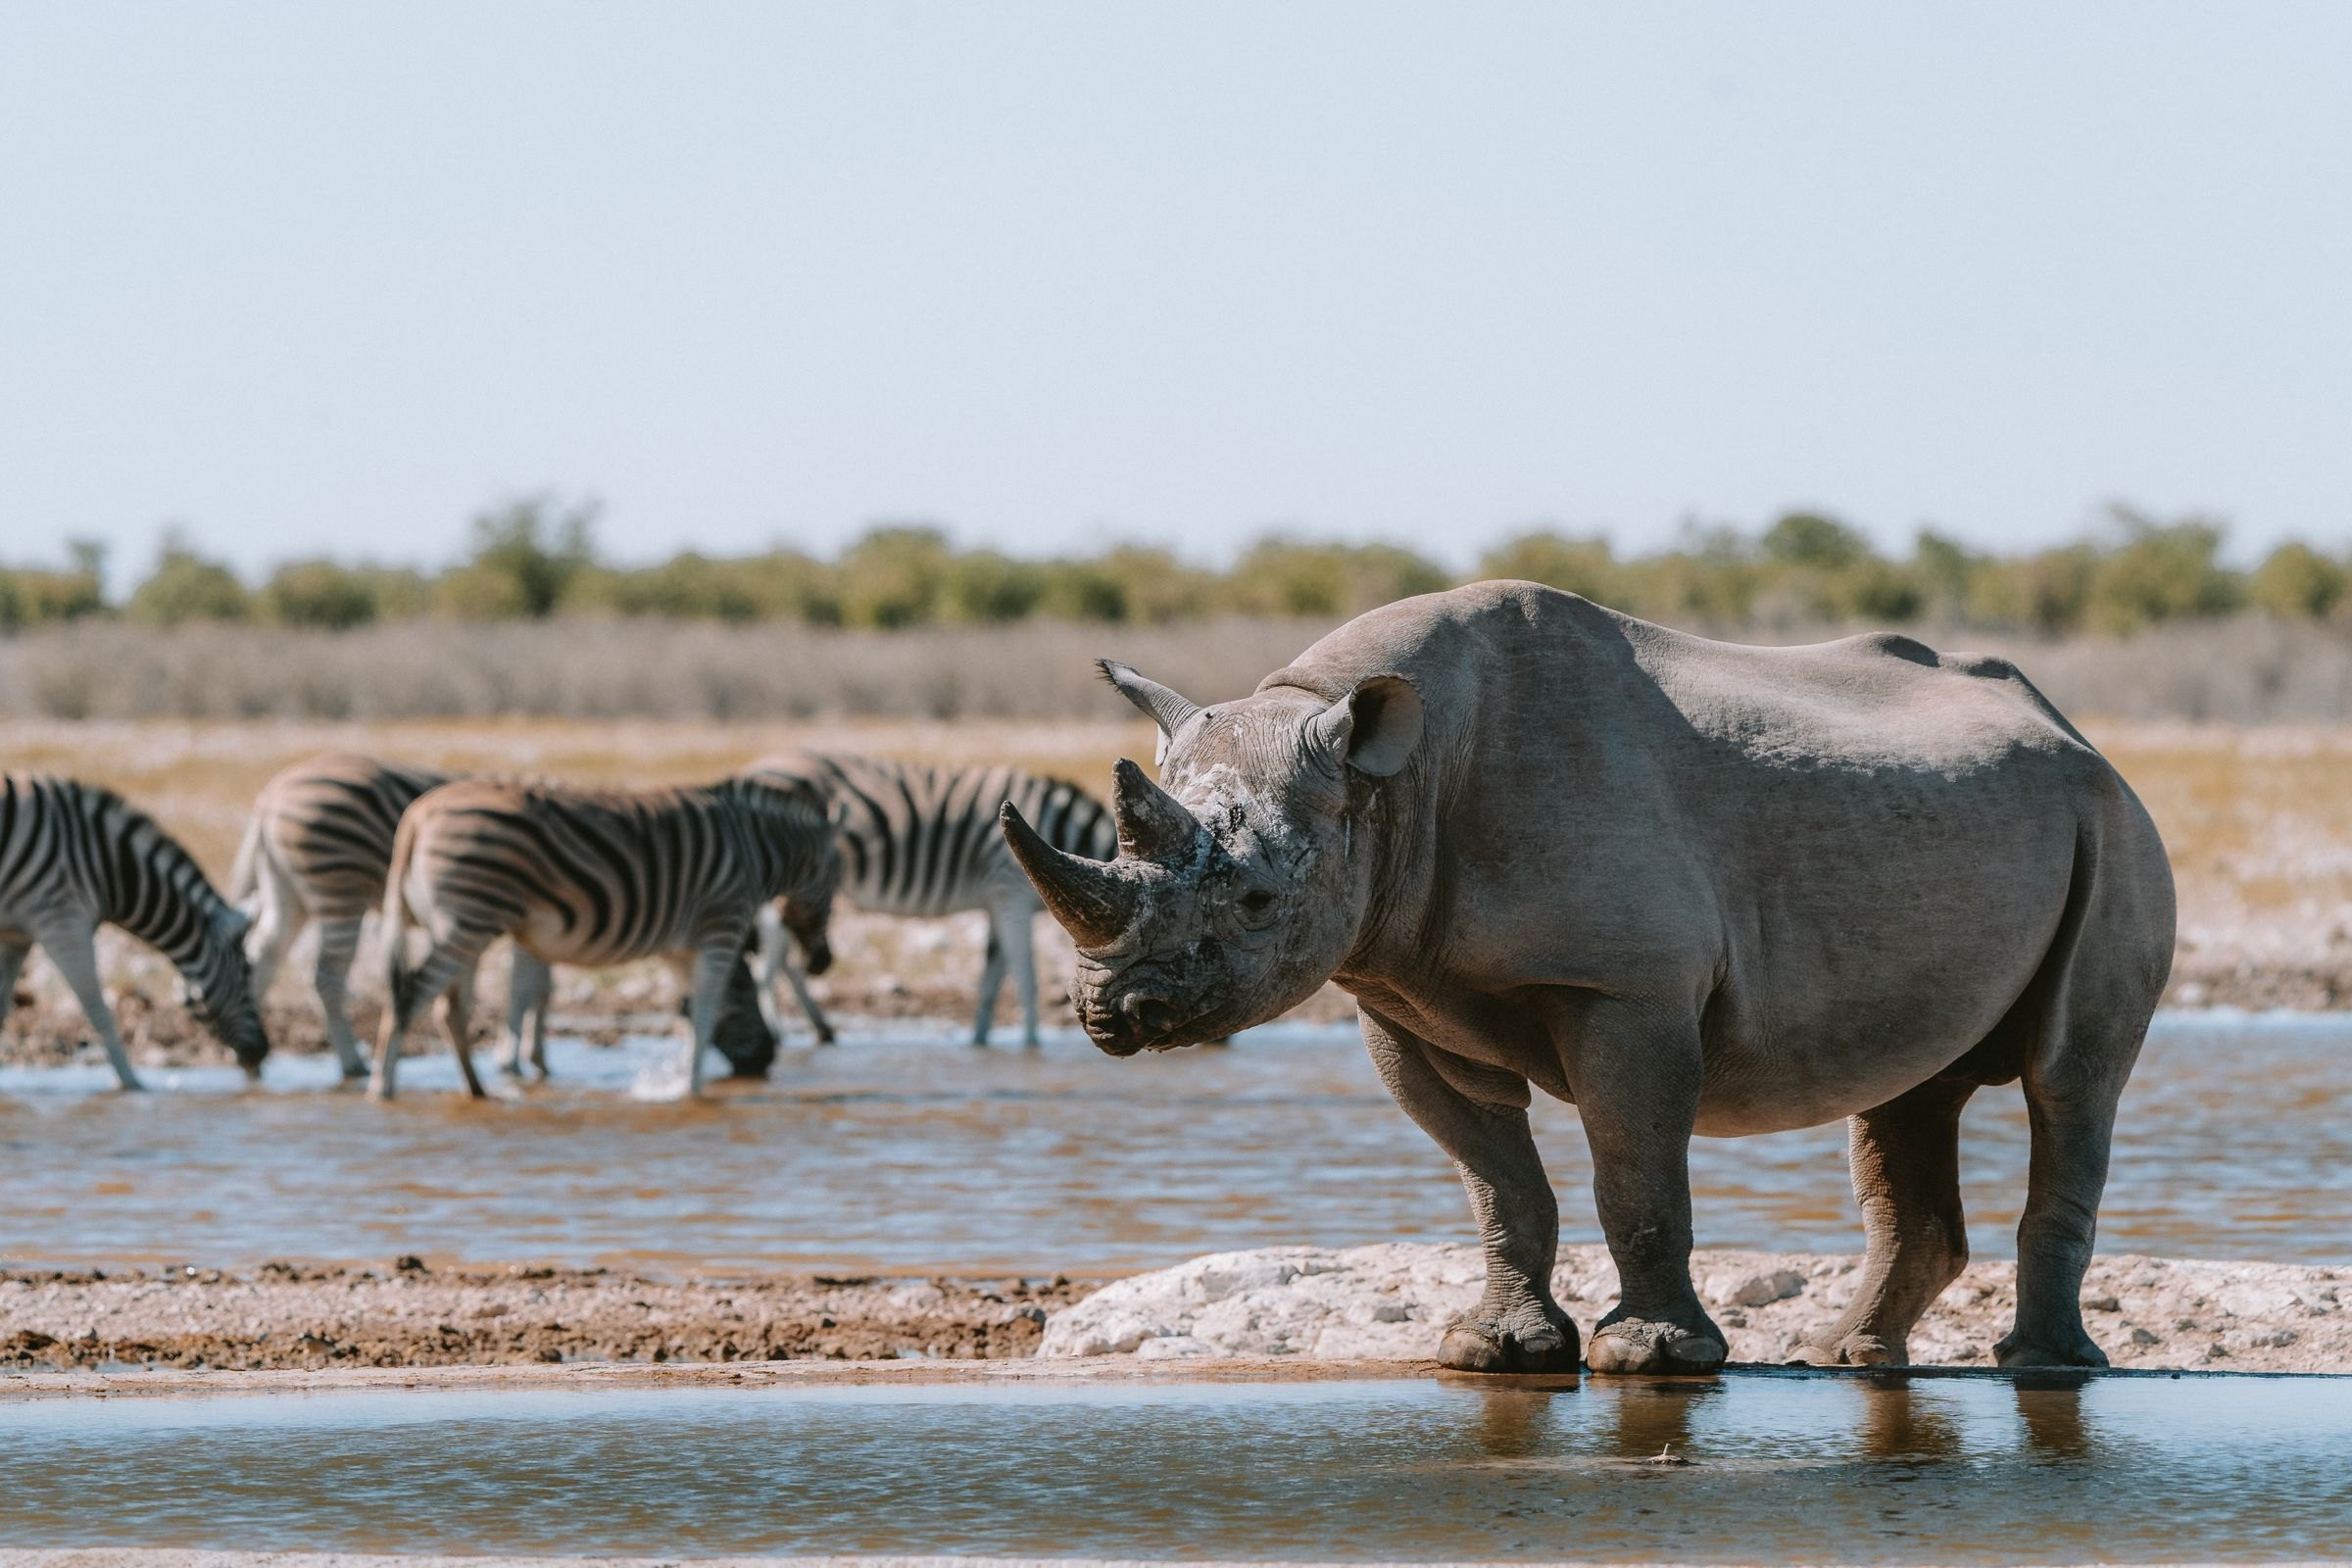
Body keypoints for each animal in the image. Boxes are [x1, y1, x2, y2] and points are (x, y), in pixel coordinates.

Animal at [0, 773, 268, 1089]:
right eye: (247, 974)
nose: (262, 1052)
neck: (107, 866)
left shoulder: (17, 938)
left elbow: (2, 1009)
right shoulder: (62, 924)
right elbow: (98, 1011)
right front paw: (131, 1084)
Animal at [232, 753, 781, 1082]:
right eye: (742, 993)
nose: (766, 1060)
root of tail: (269, 796)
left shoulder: (542, 924)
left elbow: (540, 988)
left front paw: (534, 1058)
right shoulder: (537, 922)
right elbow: (528, 989)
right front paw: (516, 1060)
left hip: (289, 893)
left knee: (261, 956)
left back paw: (247, 1050)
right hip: (338, 889)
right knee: (327, 975)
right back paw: (351, 1064)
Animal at [372, 772, 840, 1099]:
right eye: (835, 887)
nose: (823, 963)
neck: (755, 848)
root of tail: (417, 816)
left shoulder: (682, 945)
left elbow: (693, 1010)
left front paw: (684, 1083)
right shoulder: (721, 923)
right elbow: (708, 1009)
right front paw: (693, 1090)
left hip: (463, 926)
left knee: (450, 1010)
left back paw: (476, 1090)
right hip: (467, 919)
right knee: (409, 997)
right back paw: (383, 1089)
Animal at [740, 752, 1117, 1046]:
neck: (1061, 836)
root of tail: (758, 767)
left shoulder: (997, 902)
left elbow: (991, 979)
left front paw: (979, 1041)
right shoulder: (1011, 891)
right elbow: (1025, 977)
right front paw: (1032, 1046)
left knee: (784, 957)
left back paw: (821, 1029)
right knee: (770, 959)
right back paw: (778, 1034)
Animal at [1002, 582, 2174, 1374]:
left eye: (1253, 900)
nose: (1114, 1012)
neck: (1390, 783)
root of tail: (2075, 730)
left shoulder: (1626, 989)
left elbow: (1633, 1170)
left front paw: (1649, 1360)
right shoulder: (1399, 992)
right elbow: (1496, 1179)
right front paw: (1493, 1351)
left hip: (2113, 823)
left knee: (2069, 1080)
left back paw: (2041, 1368)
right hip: (1979, 823)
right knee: (1908, 1093)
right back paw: (1843, 1356)